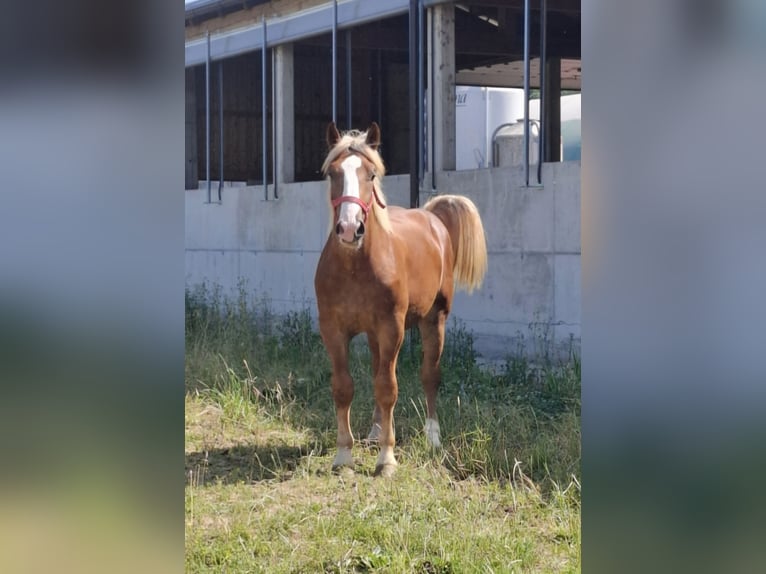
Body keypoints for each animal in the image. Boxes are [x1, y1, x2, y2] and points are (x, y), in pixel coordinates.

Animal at [314, 122, 488, 477]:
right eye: (332, 173)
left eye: (370, 175)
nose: (350, 229)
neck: (355, 268)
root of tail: (432, 217)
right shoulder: (333, 330)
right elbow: (344, 387)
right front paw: (344, 456)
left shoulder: (391, 328)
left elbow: (388, 389)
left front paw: (387, 458)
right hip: (374, 335)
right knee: (377, 372)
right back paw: (375, 431)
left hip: (434, 320)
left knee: (429, 376)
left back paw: (432, 437)